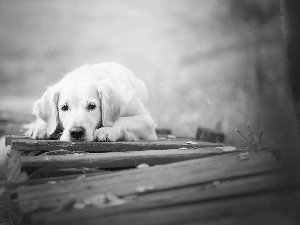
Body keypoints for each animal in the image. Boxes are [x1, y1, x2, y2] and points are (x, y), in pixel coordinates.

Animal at [25, 62, 157, 142]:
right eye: (64, 107)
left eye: (92, 106)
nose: (76, 133)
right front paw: (42, 127)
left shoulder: (146, 121)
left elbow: (121, 120)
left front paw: (107, 130)